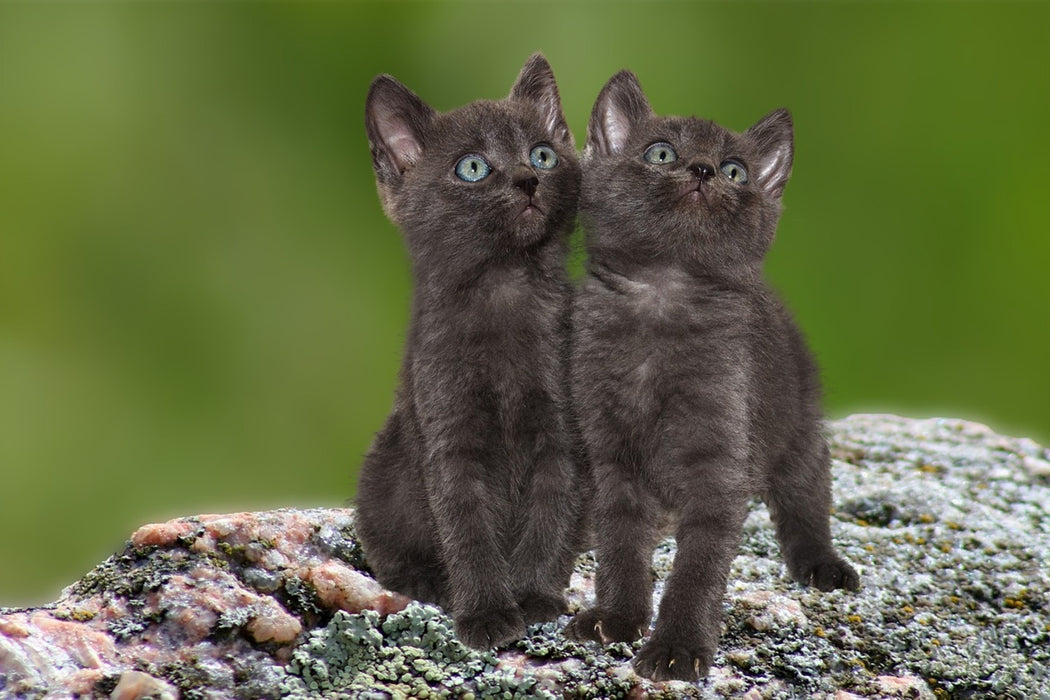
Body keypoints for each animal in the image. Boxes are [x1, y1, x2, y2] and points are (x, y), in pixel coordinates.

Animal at [352, 54, 583, 650]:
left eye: (543, 154)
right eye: (473, 168)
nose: (528, 180)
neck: (504, 292)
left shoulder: (563, 436)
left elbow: (550, 516)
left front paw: (534, 597)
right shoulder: (449, 436)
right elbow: (469, 528)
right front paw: (487, 613)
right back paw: (426, 581)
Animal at [567, 71, 860, 680]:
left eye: (735, 171)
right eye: (660, 154)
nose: (703, 171)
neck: (663, 295)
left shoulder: (720, 464)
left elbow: (698, 567)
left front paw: (677, 648)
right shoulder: (608, 455)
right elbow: (621, 544)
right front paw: (617, 618)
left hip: (797, 425)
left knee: (807, 491)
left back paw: (822, 563)